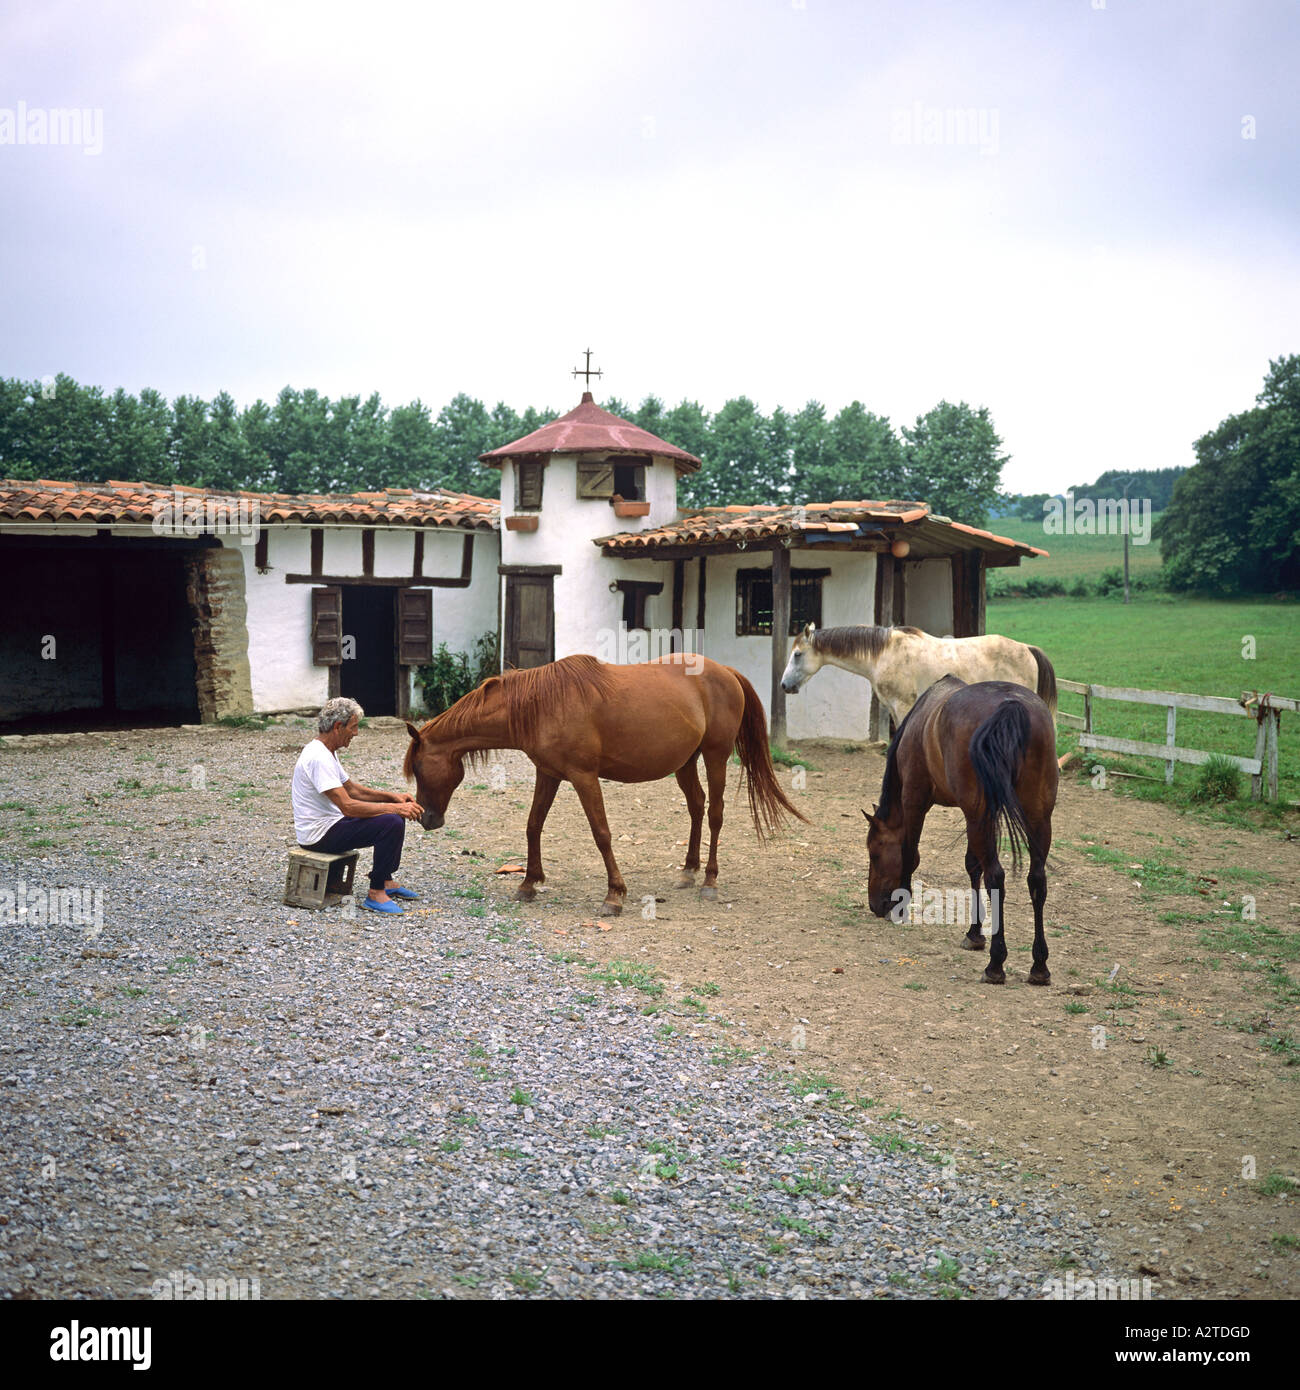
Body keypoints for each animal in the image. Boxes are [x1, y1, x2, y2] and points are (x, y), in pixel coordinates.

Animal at [400, 653, 800, 911]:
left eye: (418, 767)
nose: (426, 818)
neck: (541, 705)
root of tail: (726, 671)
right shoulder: (548, 774)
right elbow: (533, 825)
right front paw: (528, 883)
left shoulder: (583, 777)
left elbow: (601, 833)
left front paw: (614, 894)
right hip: (685, 762)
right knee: (696, 807)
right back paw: (689, 870)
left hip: (716, 756)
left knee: (715, 812)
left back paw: (710, 882)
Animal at [778, 622, 1051, 728]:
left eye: (797, 654)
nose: (784, 685)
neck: (885, 652)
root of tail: (1026, 648)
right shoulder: (893, 708)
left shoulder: (903, 705)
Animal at [862, 675, 1056, 984]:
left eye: (874, 854)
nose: (875, 905)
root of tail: (1010, 705)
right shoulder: (975, 815)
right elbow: (972, 866)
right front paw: (975, 933)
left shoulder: (915, 800)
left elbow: (910, 854)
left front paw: (902, 907)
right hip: (1036, 817)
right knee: (1036, 880)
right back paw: (1039, 965)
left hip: (982, 817)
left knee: (996, 877)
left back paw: (996, 964)